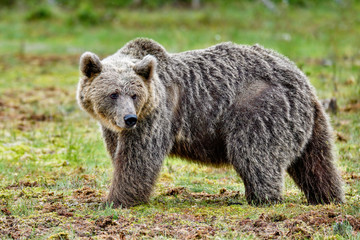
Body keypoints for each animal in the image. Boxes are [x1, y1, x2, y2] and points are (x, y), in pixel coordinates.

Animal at [77, 38, 344, 207]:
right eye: (113, 94)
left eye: (134, 94)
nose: (129, 118)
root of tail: (300, 77)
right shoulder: (114, 128)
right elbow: (119, 153)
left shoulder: (156, 115)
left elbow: (138, 158)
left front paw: (113, 201)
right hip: (312, 121)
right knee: (316, 162)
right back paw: (328, 196)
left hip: (260, 108)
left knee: (254, 153)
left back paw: (261, 198)